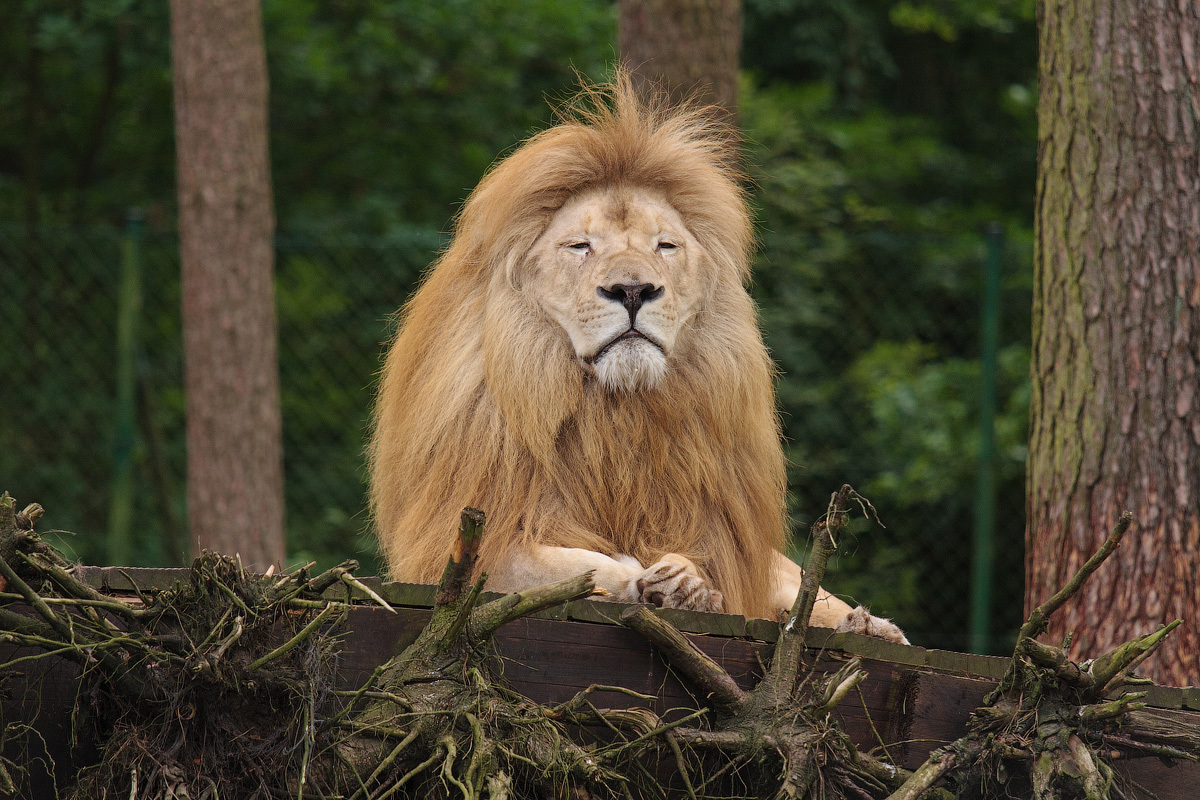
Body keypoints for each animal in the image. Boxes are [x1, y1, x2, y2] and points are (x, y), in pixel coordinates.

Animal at [369, 71, 902, 642]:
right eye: (580, 246)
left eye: (665, 245)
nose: (632, 290)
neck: (614, 413)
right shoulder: (468, 543)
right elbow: (573, 567)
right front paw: (657, 581)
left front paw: (686, 580)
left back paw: (871, 626)